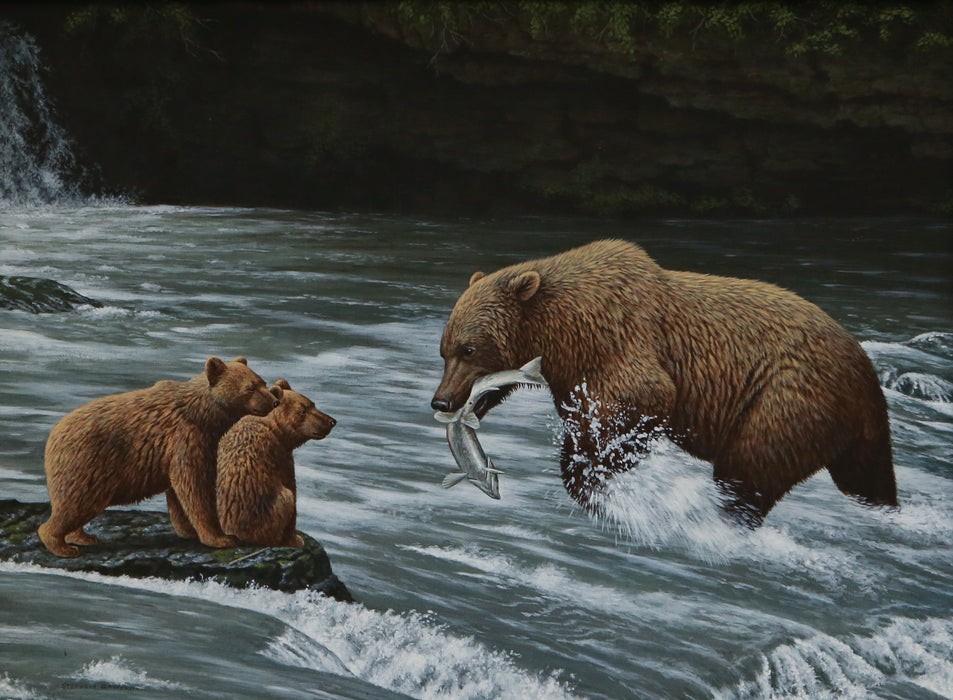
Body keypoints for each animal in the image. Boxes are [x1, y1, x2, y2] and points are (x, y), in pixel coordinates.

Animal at [38, 356, 279, 557]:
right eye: (250, 387)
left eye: (262, 382)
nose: (274, 401)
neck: (203, 414)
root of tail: (53, 435)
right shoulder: (186, 436)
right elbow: (195, 487)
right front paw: (221, 538)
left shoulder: (191, 443)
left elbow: (178, 491)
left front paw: (187, 530)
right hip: (87, 463)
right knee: (76, 503)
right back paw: (62, 546)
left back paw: (82, 537)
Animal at [216, 379, 335, 547]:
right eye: (302, 410)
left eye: (313, 404)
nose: (331, 421)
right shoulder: (278, 454)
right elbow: (291, 489)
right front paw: (295, 539)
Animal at [431, 239, 897, 527]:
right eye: (444, 350)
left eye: (469, 349)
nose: (442, 401)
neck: (565, 332)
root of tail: (867, 374)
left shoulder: (622, 342)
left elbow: (640, 399)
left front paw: (591, 480)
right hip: (850, 433)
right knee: (865, 479)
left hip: (786, 398)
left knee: (748, 468)